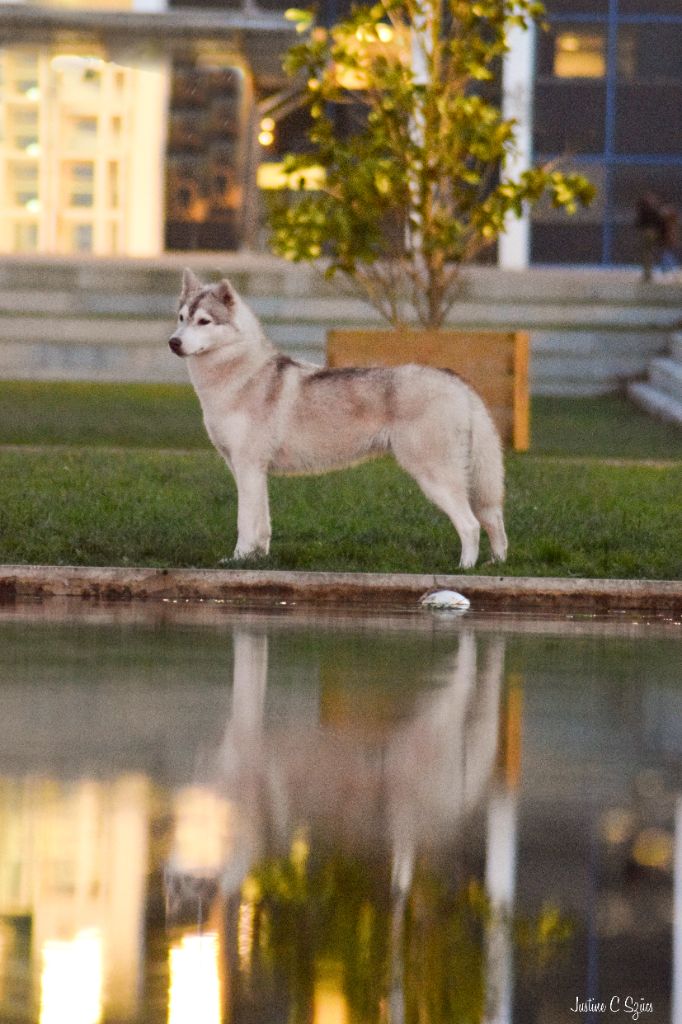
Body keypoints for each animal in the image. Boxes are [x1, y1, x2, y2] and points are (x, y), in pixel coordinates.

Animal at [166, 270, 503, 569]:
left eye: (204, 321)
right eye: (181, 318)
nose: (173, 342)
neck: (238, 376)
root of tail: (456, 380)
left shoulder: (248, 467)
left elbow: (244, 524)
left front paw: (238, 559)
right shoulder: (249, 470)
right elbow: (262, 525)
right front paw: (256, 559)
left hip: (435, 476)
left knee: (471, 524)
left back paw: (464, 567)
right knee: (495, 522)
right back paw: (494, 563)